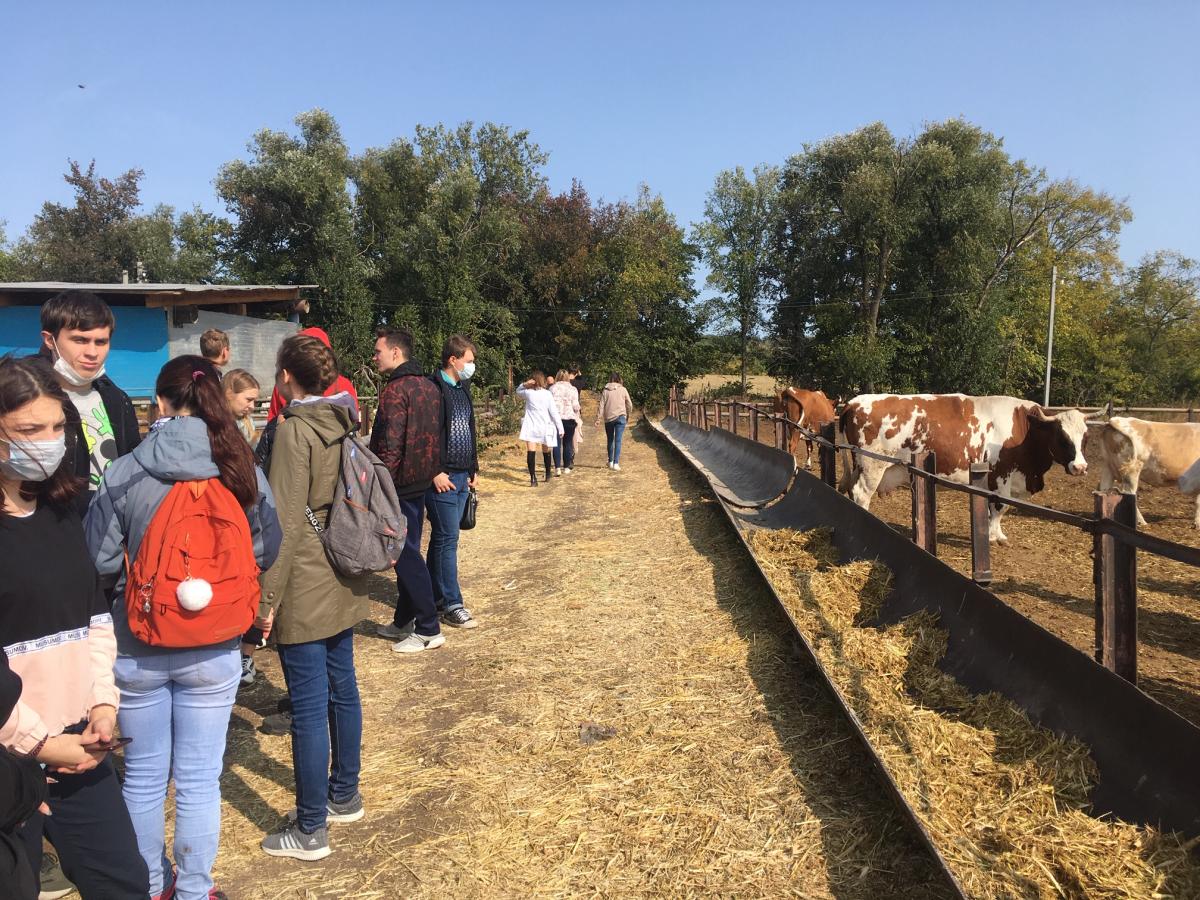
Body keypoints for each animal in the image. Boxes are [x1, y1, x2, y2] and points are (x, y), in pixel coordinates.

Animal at [835, 393, 1089, 542]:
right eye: (1062, 438)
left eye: (1085, 438)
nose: (1080, 467)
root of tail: (854, 401)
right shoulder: (1000, 476)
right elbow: (1000, 508)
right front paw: (993, 536)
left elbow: (996, 510)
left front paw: (996, 533)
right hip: (873, 465)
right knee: (861, 493)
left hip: (861, 465)